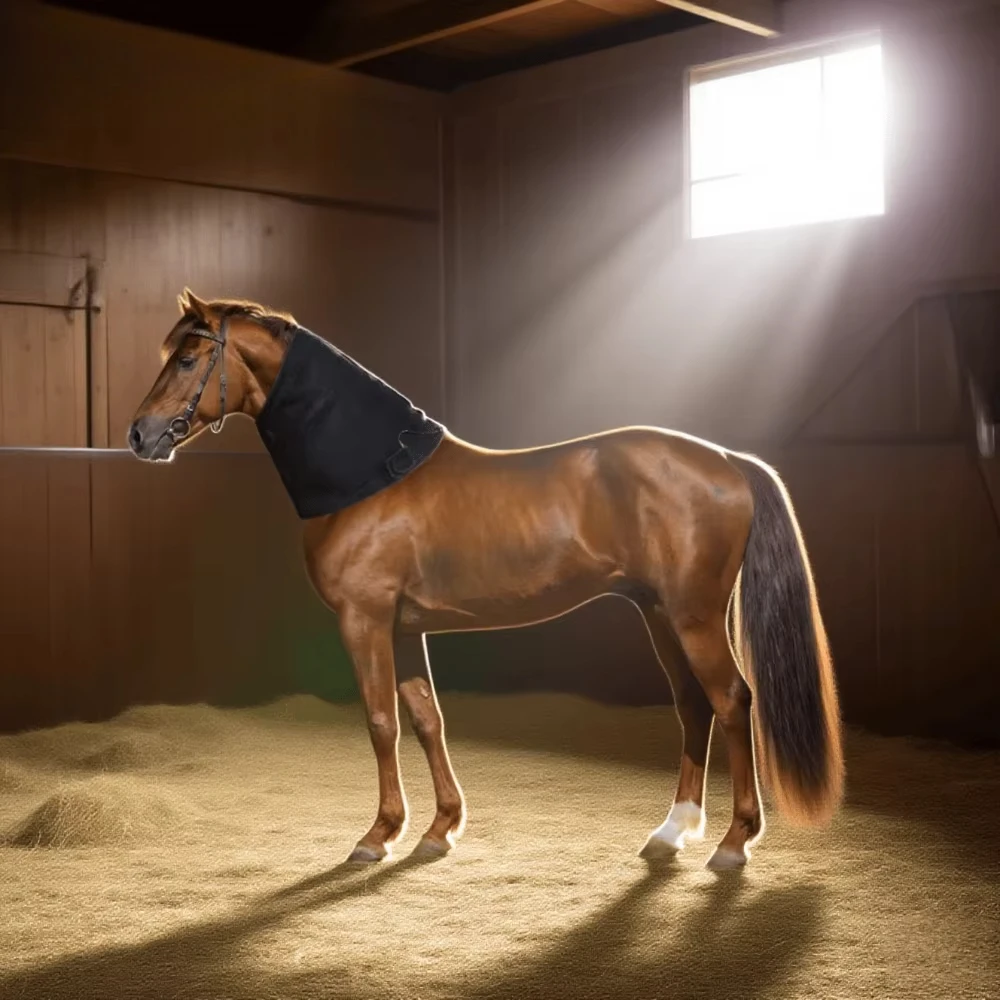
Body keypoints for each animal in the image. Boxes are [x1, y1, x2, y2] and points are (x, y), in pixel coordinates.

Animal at [127, 289, 844, 870]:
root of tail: (727, 459)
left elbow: (381, 721)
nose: (140, 435)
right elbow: (426, 718)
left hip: (694, 617)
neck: (370, 474)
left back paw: (733, 843)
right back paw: (670, 833)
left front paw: (378, 835)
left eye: (188, 358)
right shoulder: (404, 627)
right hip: (660, 612)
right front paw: (438, 829)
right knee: (692, 705)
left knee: (732, 701)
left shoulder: (364, 619)